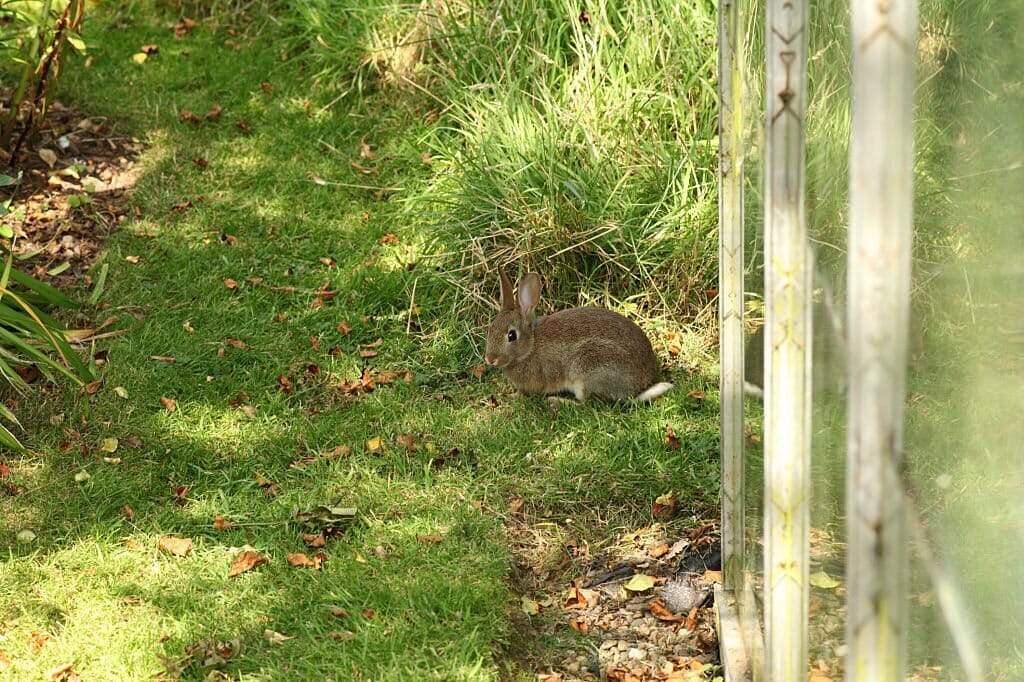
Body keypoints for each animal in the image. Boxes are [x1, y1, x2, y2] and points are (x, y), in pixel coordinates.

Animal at [485, 270, 671, 401]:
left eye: (511, 336)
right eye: (490, 329)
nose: (490, 359)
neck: (530, 346)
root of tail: (639, 387)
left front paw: (515, 396)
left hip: (588, 370)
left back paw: (557, 401)